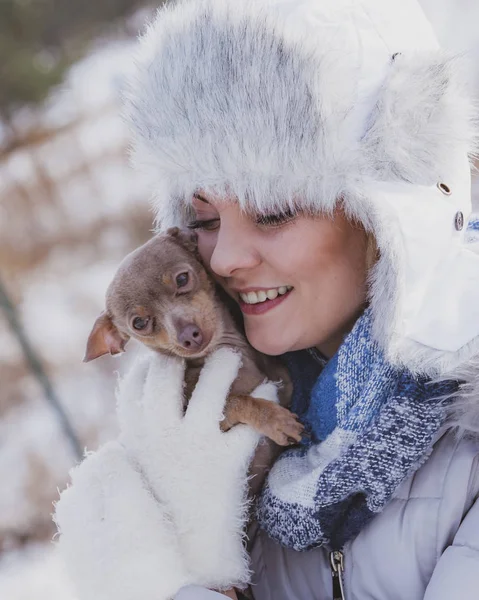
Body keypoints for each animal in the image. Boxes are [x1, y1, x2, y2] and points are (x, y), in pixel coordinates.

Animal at [85, 230, 304, 492]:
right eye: (139, 323)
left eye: (182, 279)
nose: (188, 335)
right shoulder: (205, 415)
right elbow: (238, 401)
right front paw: (274, 419)